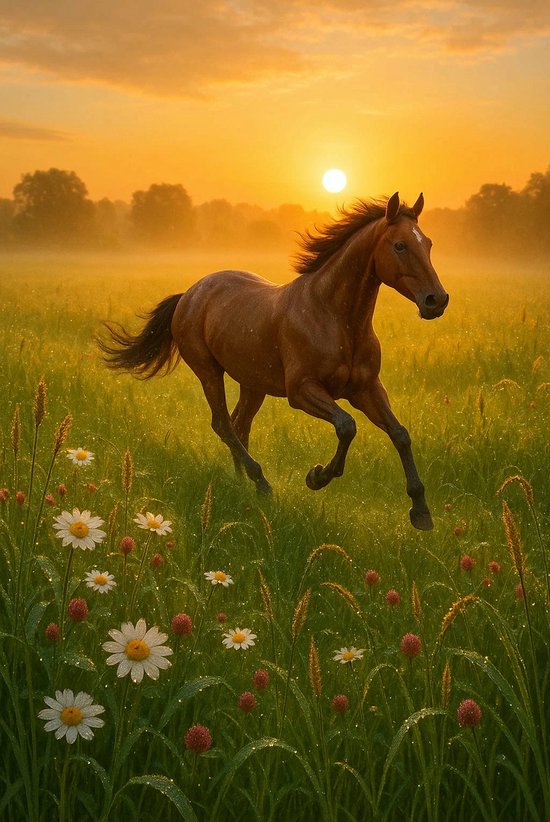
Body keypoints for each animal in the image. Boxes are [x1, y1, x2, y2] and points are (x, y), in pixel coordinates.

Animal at [98, 191, 449, 530]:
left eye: (429, 244)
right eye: (400, 245)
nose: (437, 300)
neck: (334, 317)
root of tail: (189, 294)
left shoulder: (366, 389)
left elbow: (400, 434)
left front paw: (421, 511)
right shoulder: (302, 391)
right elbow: (347, 426)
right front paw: (317, 476)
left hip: (253, 384)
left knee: (239, 425)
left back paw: (241, 483)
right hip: (209, 372)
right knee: (223, 424)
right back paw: (260, 483)